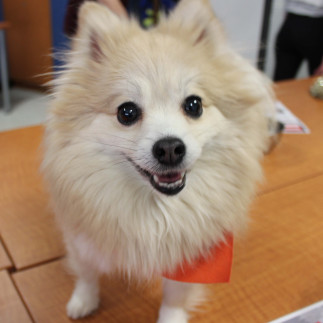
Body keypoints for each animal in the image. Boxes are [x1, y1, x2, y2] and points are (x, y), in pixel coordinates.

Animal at [42, 1, 276, 322]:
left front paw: (171, 317)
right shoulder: (82, 238)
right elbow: (87, 273)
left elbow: (174, 297)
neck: (154, 210)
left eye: (194, 105)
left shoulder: (191, 256)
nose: (169, 148)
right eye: (126, 112)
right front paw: (84, 301)